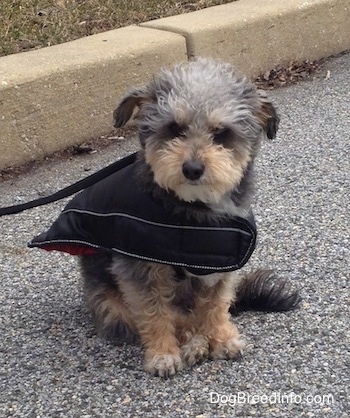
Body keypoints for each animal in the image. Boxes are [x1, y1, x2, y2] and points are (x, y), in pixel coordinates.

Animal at [78, 59, 298, 378]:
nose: (192, 169)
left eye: (221, 133)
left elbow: (216, 305)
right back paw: (192, 344)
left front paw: (221, 337)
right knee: (173, 320)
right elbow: (155, 314)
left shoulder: (220, 267)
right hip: (112, 305)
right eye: (174, 128)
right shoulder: (140, 272)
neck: (193, 211)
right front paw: (163, 354)